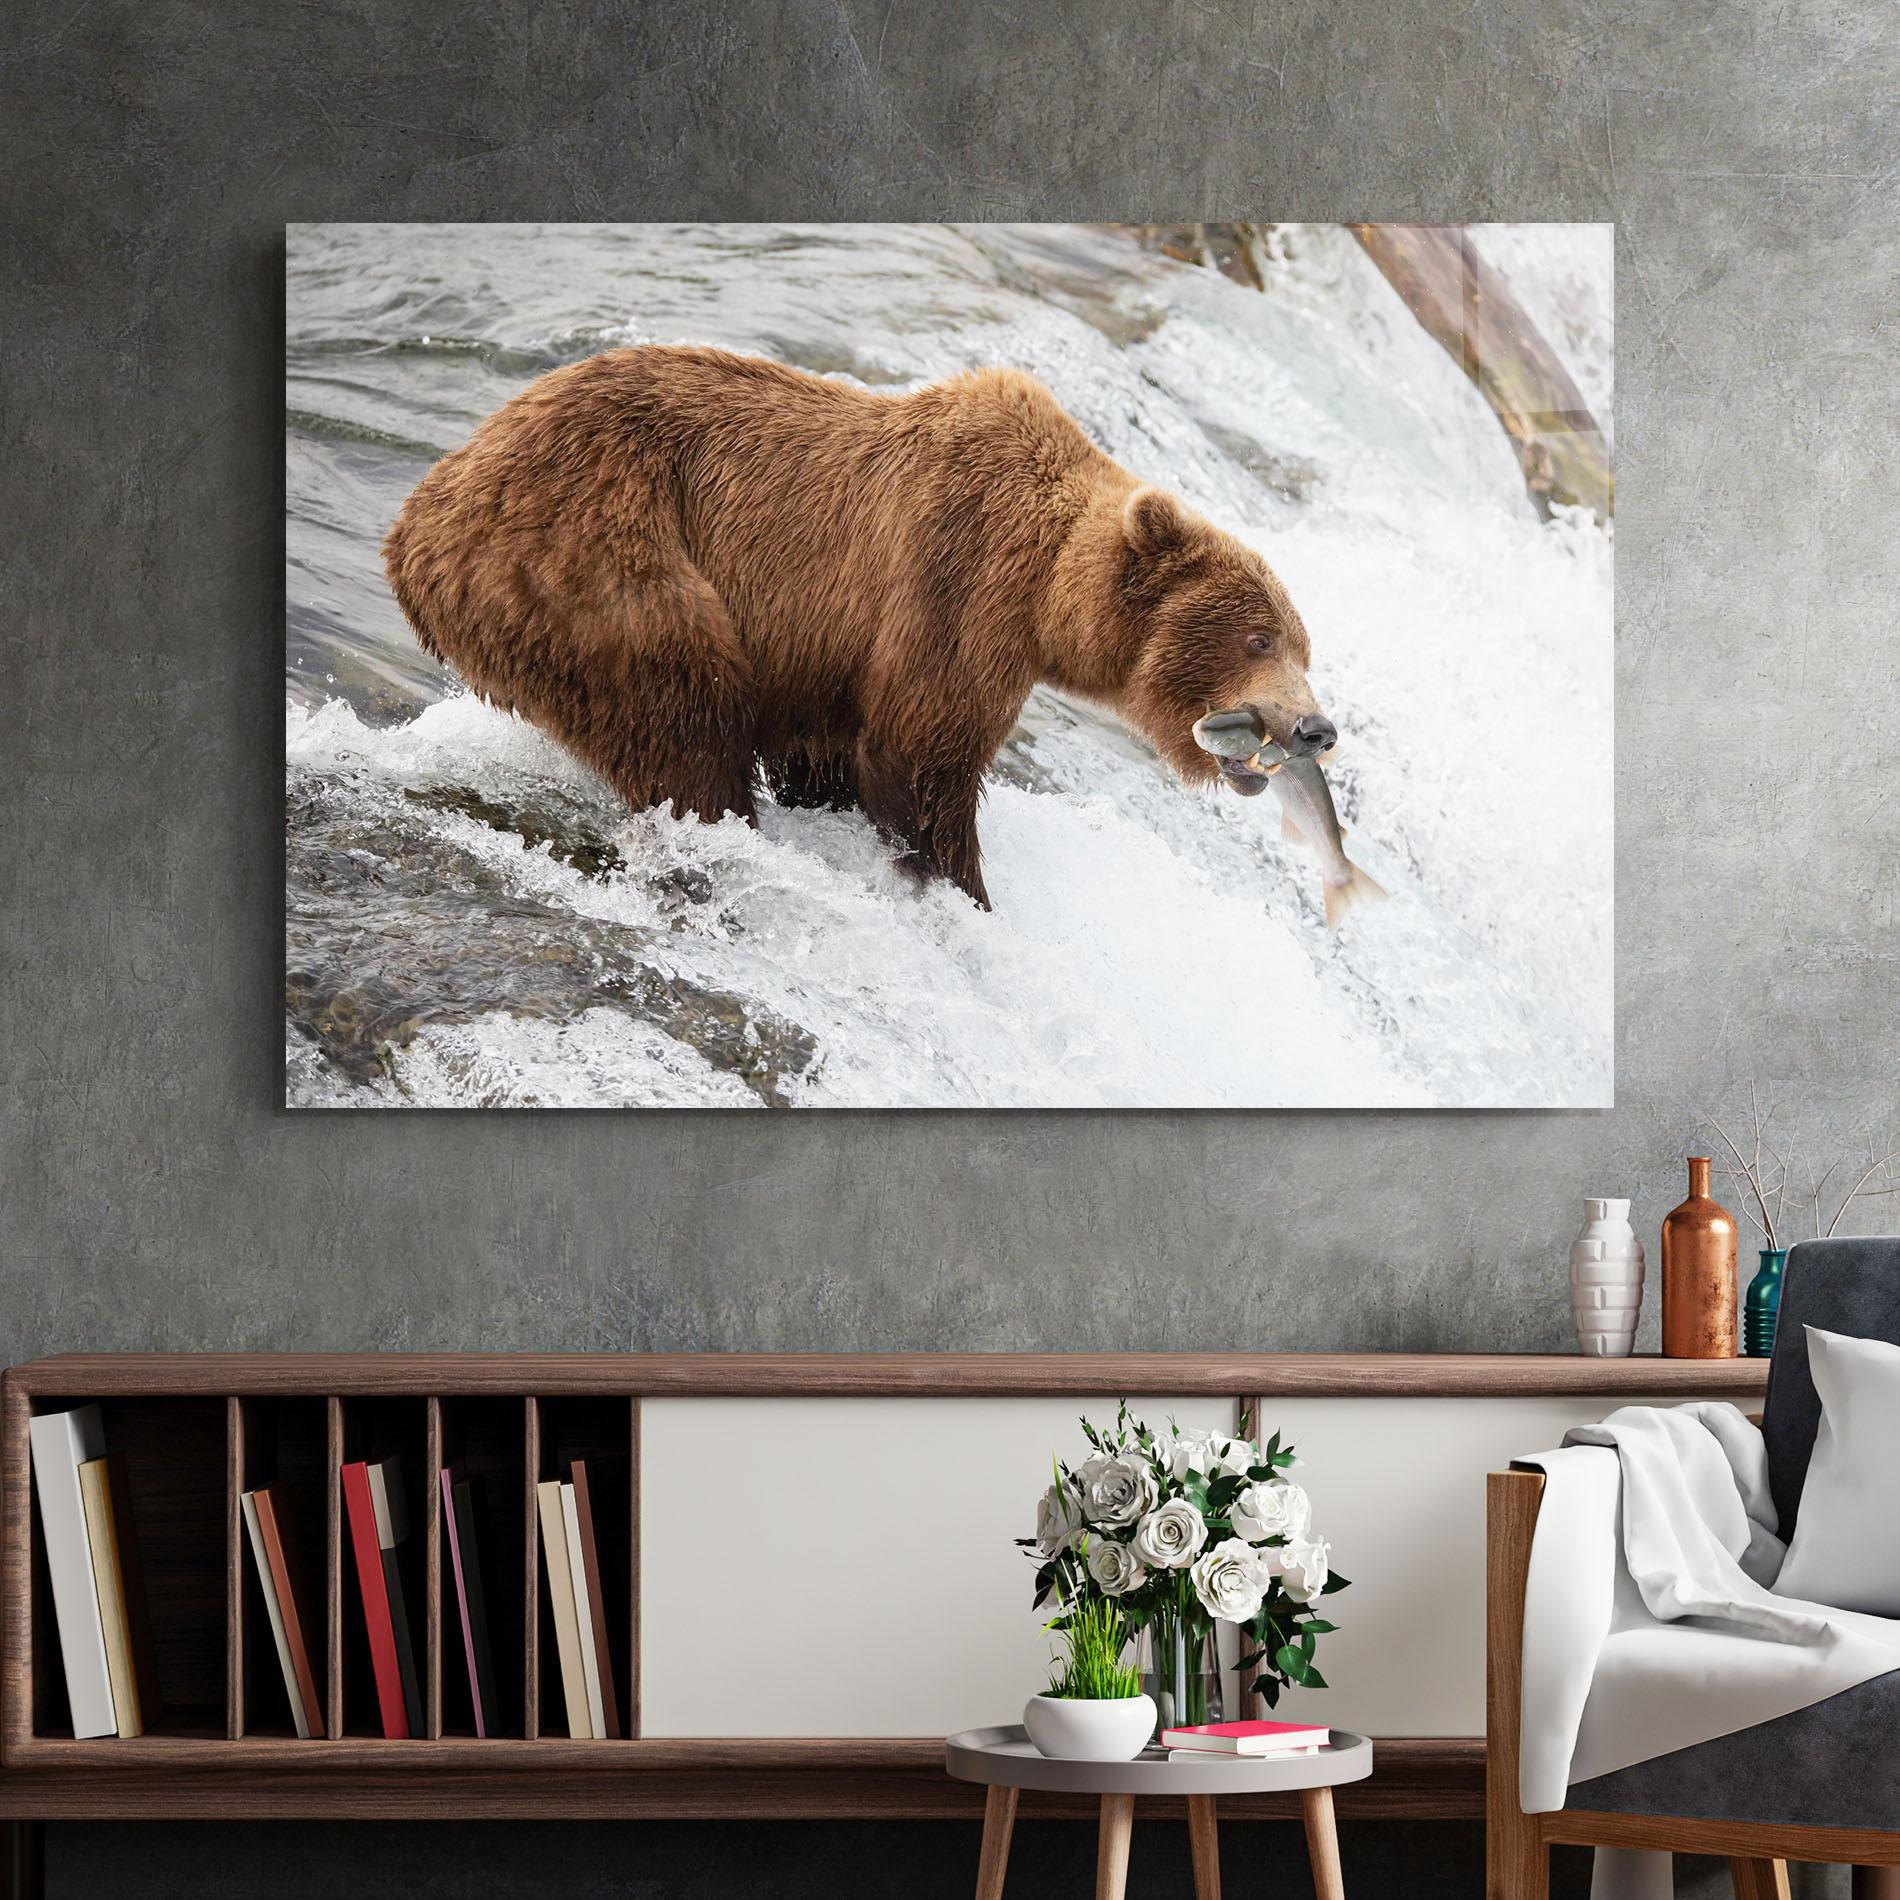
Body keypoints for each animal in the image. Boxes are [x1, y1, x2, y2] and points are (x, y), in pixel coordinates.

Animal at [383, 345, 1335, 910]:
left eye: (1303, 645)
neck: (1046, 592)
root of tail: (417, 519)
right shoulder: (955, 585)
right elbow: (921, 758)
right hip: (594, 554)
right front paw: (962, 891)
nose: (1315, 728)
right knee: (683, 713)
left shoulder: (827, 658)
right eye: (1259, 638)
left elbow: (830, 754)